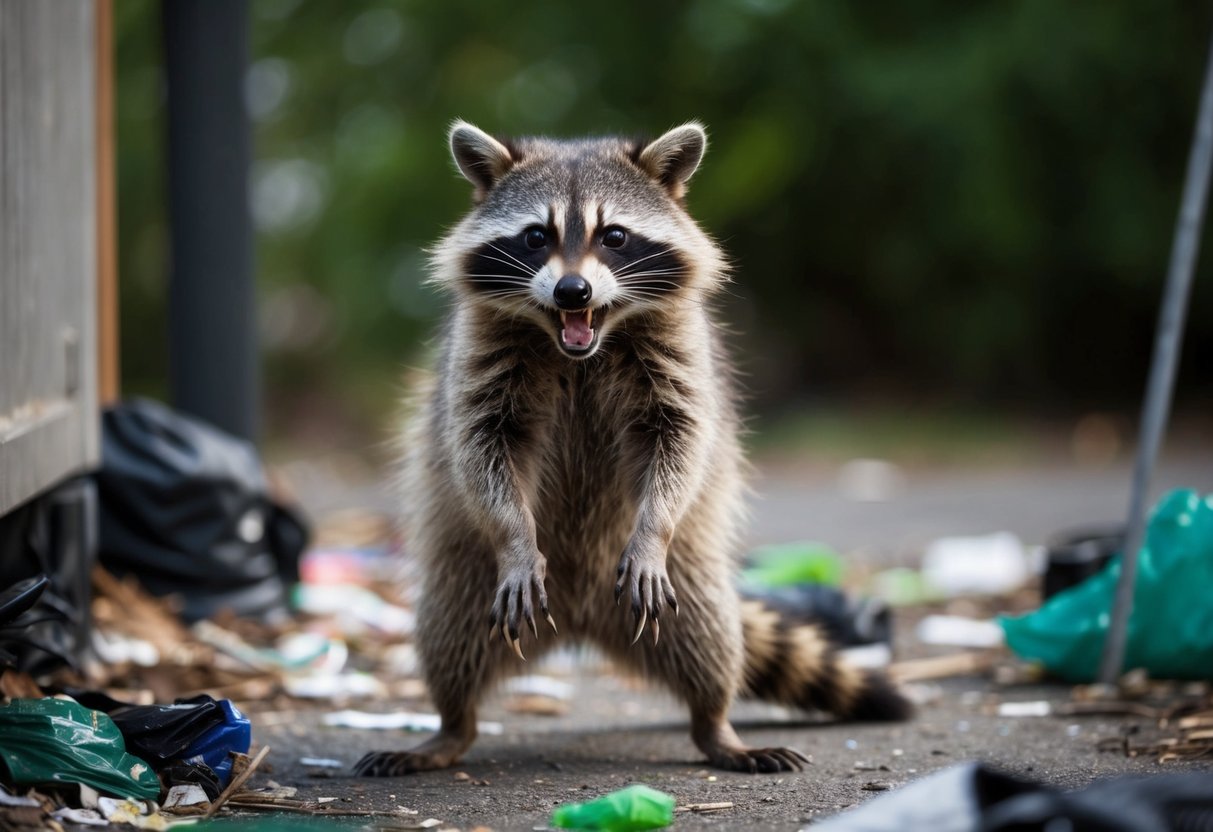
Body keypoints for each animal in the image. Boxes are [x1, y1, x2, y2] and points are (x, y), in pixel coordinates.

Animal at [354, 122, 910, 777]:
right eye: (536, 236)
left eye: (614, 236)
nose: (573, 291)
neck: (579, 345)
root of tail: (578, 620)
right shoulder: (478, 356)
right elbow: (480, 447)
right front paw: (515, 538)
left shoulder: (680, 351)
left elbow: (682, 441)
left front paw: (654, 528)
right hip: (465, 582)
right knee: (448, 641)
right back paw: (450, 727)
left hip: (687, 585)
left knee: (710, 641)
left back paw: (715, 724)